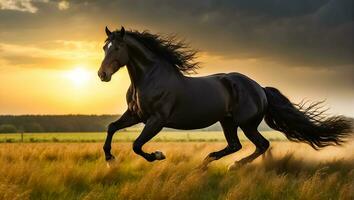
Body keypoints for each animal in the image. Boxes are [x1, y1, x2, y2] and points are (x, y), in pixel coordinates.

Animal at [97, 25, 352, 169]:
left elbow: (137, 145)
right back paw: (207, 161)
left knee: (261, 144)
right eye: (103, 47)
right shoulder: (135, 115)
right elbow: (111, 127)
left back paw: (233, 166)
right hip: (227, 121)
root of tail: (260, 88)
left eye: (117, 48)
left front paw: (158, 155)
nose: (102, 74)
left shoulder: (156, 120)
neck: (150, 77)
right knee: (235, 145)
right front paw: (110, 160)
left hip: (246, 123)